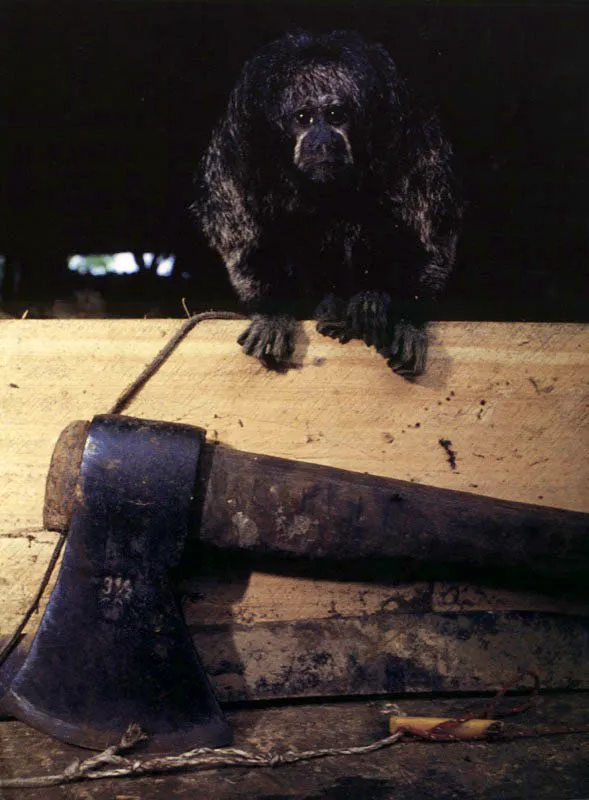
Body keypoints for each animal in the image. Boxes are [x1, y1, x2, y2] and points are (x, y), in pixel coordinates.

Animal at [193, 32, 460, 378]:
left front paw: (408, 319)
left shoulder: (405, 130)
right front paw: (272, 311)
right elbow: (242, 234)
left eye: (335, 116)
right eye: (303, 118)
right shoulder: (240, 139)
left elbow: (431, 231)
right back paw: (331, 304)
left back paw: (368, 300)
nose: (321, 141)